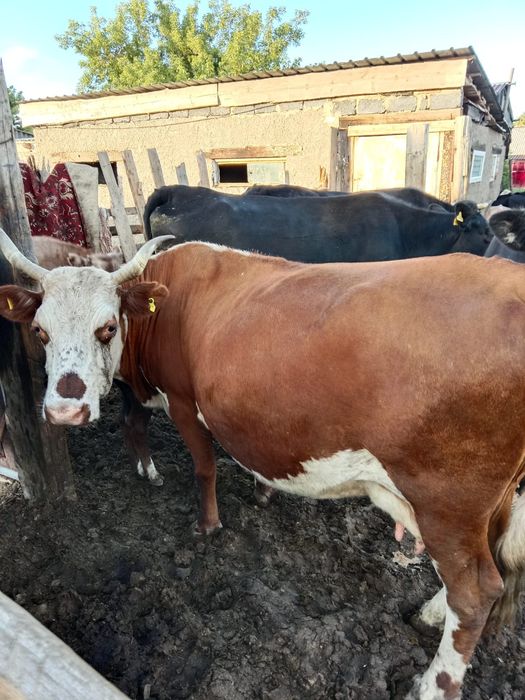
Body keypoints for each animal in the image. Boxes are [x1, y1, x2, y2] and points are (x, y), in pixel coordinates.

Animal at [1, 228, 524, 700]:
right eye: (41, 332)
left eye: (107, 327)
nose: (65, 411)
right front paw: (258, 490)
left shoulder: (184, 402)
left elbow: (204, 467)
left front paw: (208, 525)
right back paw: (430, 614)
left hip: (445, 501)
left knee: (475, 592)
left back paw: (435, 685)